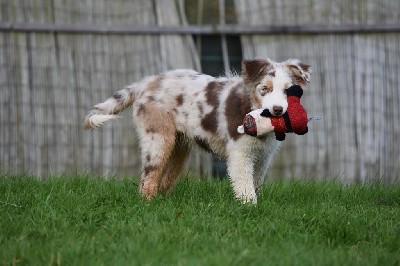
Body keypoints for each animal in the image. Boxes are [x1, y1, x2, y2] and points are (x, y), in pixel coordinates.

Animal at [83, 58, 310, 204]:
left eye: (288, 91)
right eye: (265, 89)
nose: (277, 110)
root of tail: (147, 83)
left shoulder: (263, 156)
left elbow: (256, 181)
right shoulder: (240, 153)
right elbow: (245, 185)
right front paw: (249, 208)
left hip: (178, 149)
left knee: (163, 179)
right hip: (158, 138)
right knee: (148, 178)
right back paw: (147, 206)